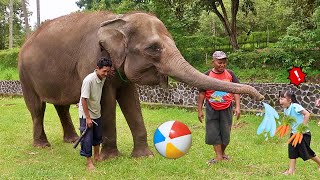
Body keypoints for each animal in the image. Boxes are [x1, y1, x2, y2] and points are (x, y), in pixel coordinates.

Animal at [18, 11, 262, 159]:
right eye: (153, 48)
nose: (260, 97)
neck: (118, 20)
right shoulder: (92, 60)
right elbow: (106, 101)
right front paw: (110, 158)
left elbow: (131, 100)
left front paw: (144, 156)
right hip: (25, 74)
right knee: (37, 108)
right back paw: (42, 145)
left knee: (60, 105)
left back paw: (69, 141)